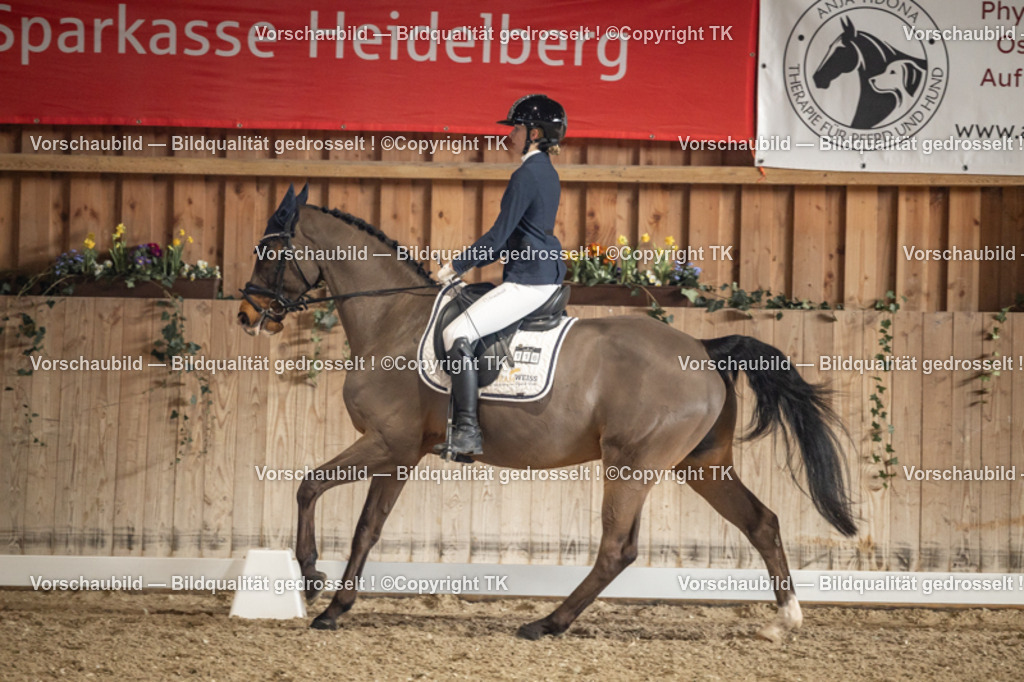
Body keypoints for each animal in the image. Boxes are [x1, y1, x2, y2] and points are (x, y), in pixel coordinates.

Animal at [237, 184, 857, 641]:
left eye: (269, 251)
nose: (246, 315)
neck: (393, 320)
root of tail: (703, 349)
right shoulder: (402, 454)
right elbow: (363, 523)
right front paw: (331, 603)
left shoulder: (388, 442)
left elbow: (311, 488)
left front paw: (312, 580)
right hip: (701, 465)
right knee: (761, 521)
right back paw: (785, 620)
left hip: (632, 465)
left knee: (617, 549)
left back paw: (546, 623)